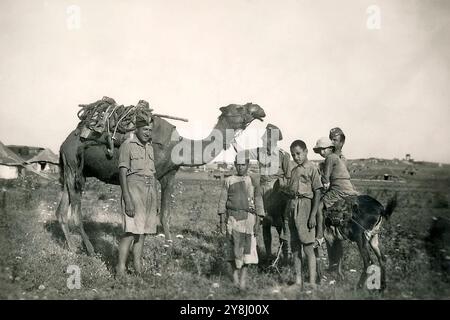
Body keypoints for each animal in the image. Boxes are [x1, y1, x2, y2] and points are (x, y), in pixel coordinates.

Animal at [57, 102, 266, 255]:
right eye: (239, 108)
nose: (258, 108)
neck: (179, 148)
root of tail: (63, 144)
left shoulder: (169, 175)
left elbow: (165, 214)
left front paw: (169, 245)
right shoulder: (151, 174)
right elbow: (146, 212)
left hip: (71, 170)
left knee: (61, 209)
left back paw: (71, 246)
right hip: (74, 165)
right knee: (75, 211)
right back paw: (89, 249)